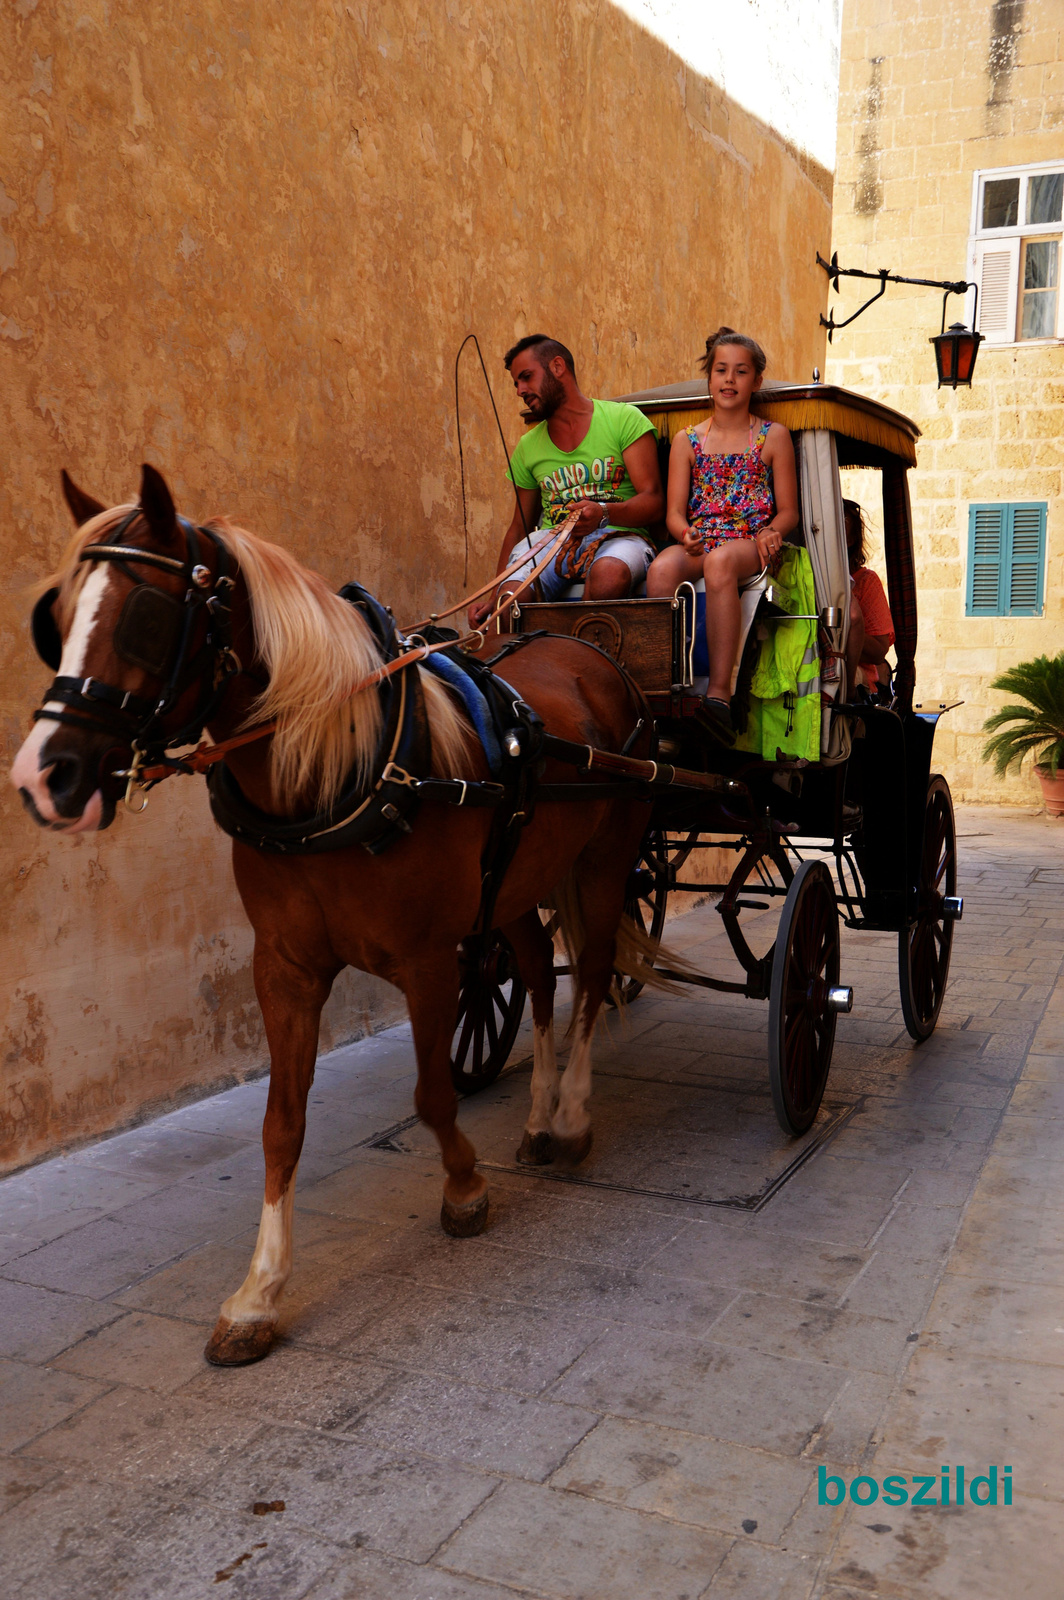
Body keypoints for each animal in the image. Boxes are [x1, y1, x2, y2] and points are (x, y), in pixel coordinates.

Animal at [12, 467, 652, 1363]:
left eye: (146, 617)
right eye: (59, 617)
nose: (44, 777)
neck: (335, 772)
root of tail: (591, 653)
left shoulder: (427, 958)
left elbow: (432, 1093)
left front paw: (464, 1188)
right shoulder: (284, 967)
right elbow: (281, 1123)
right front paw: (258, 1294)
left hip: (604, 856)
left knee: (591, 973)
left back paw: (571, 1115)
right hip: (518, 880)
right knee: (535, 970)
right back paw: (535, 1113)